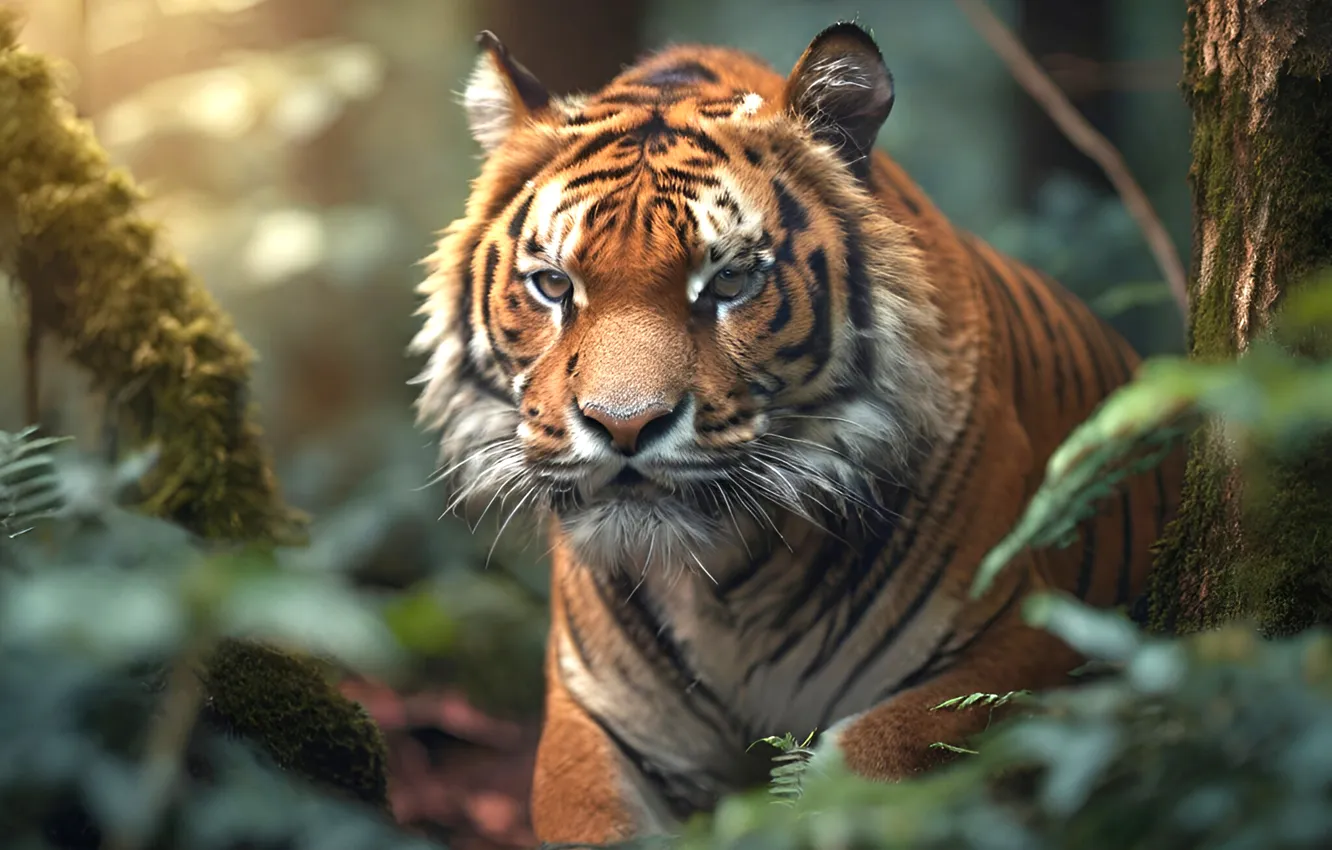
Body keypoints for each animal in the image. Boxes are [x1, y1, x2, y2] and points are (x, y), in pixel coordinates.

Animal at [409, 21, 1185, 846]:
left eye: (728, 281)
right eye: (554, 285)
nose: (625, 425)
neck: (723, 588)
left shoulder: (1026, 647)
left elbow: (867, 766)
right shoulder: (598, 723)